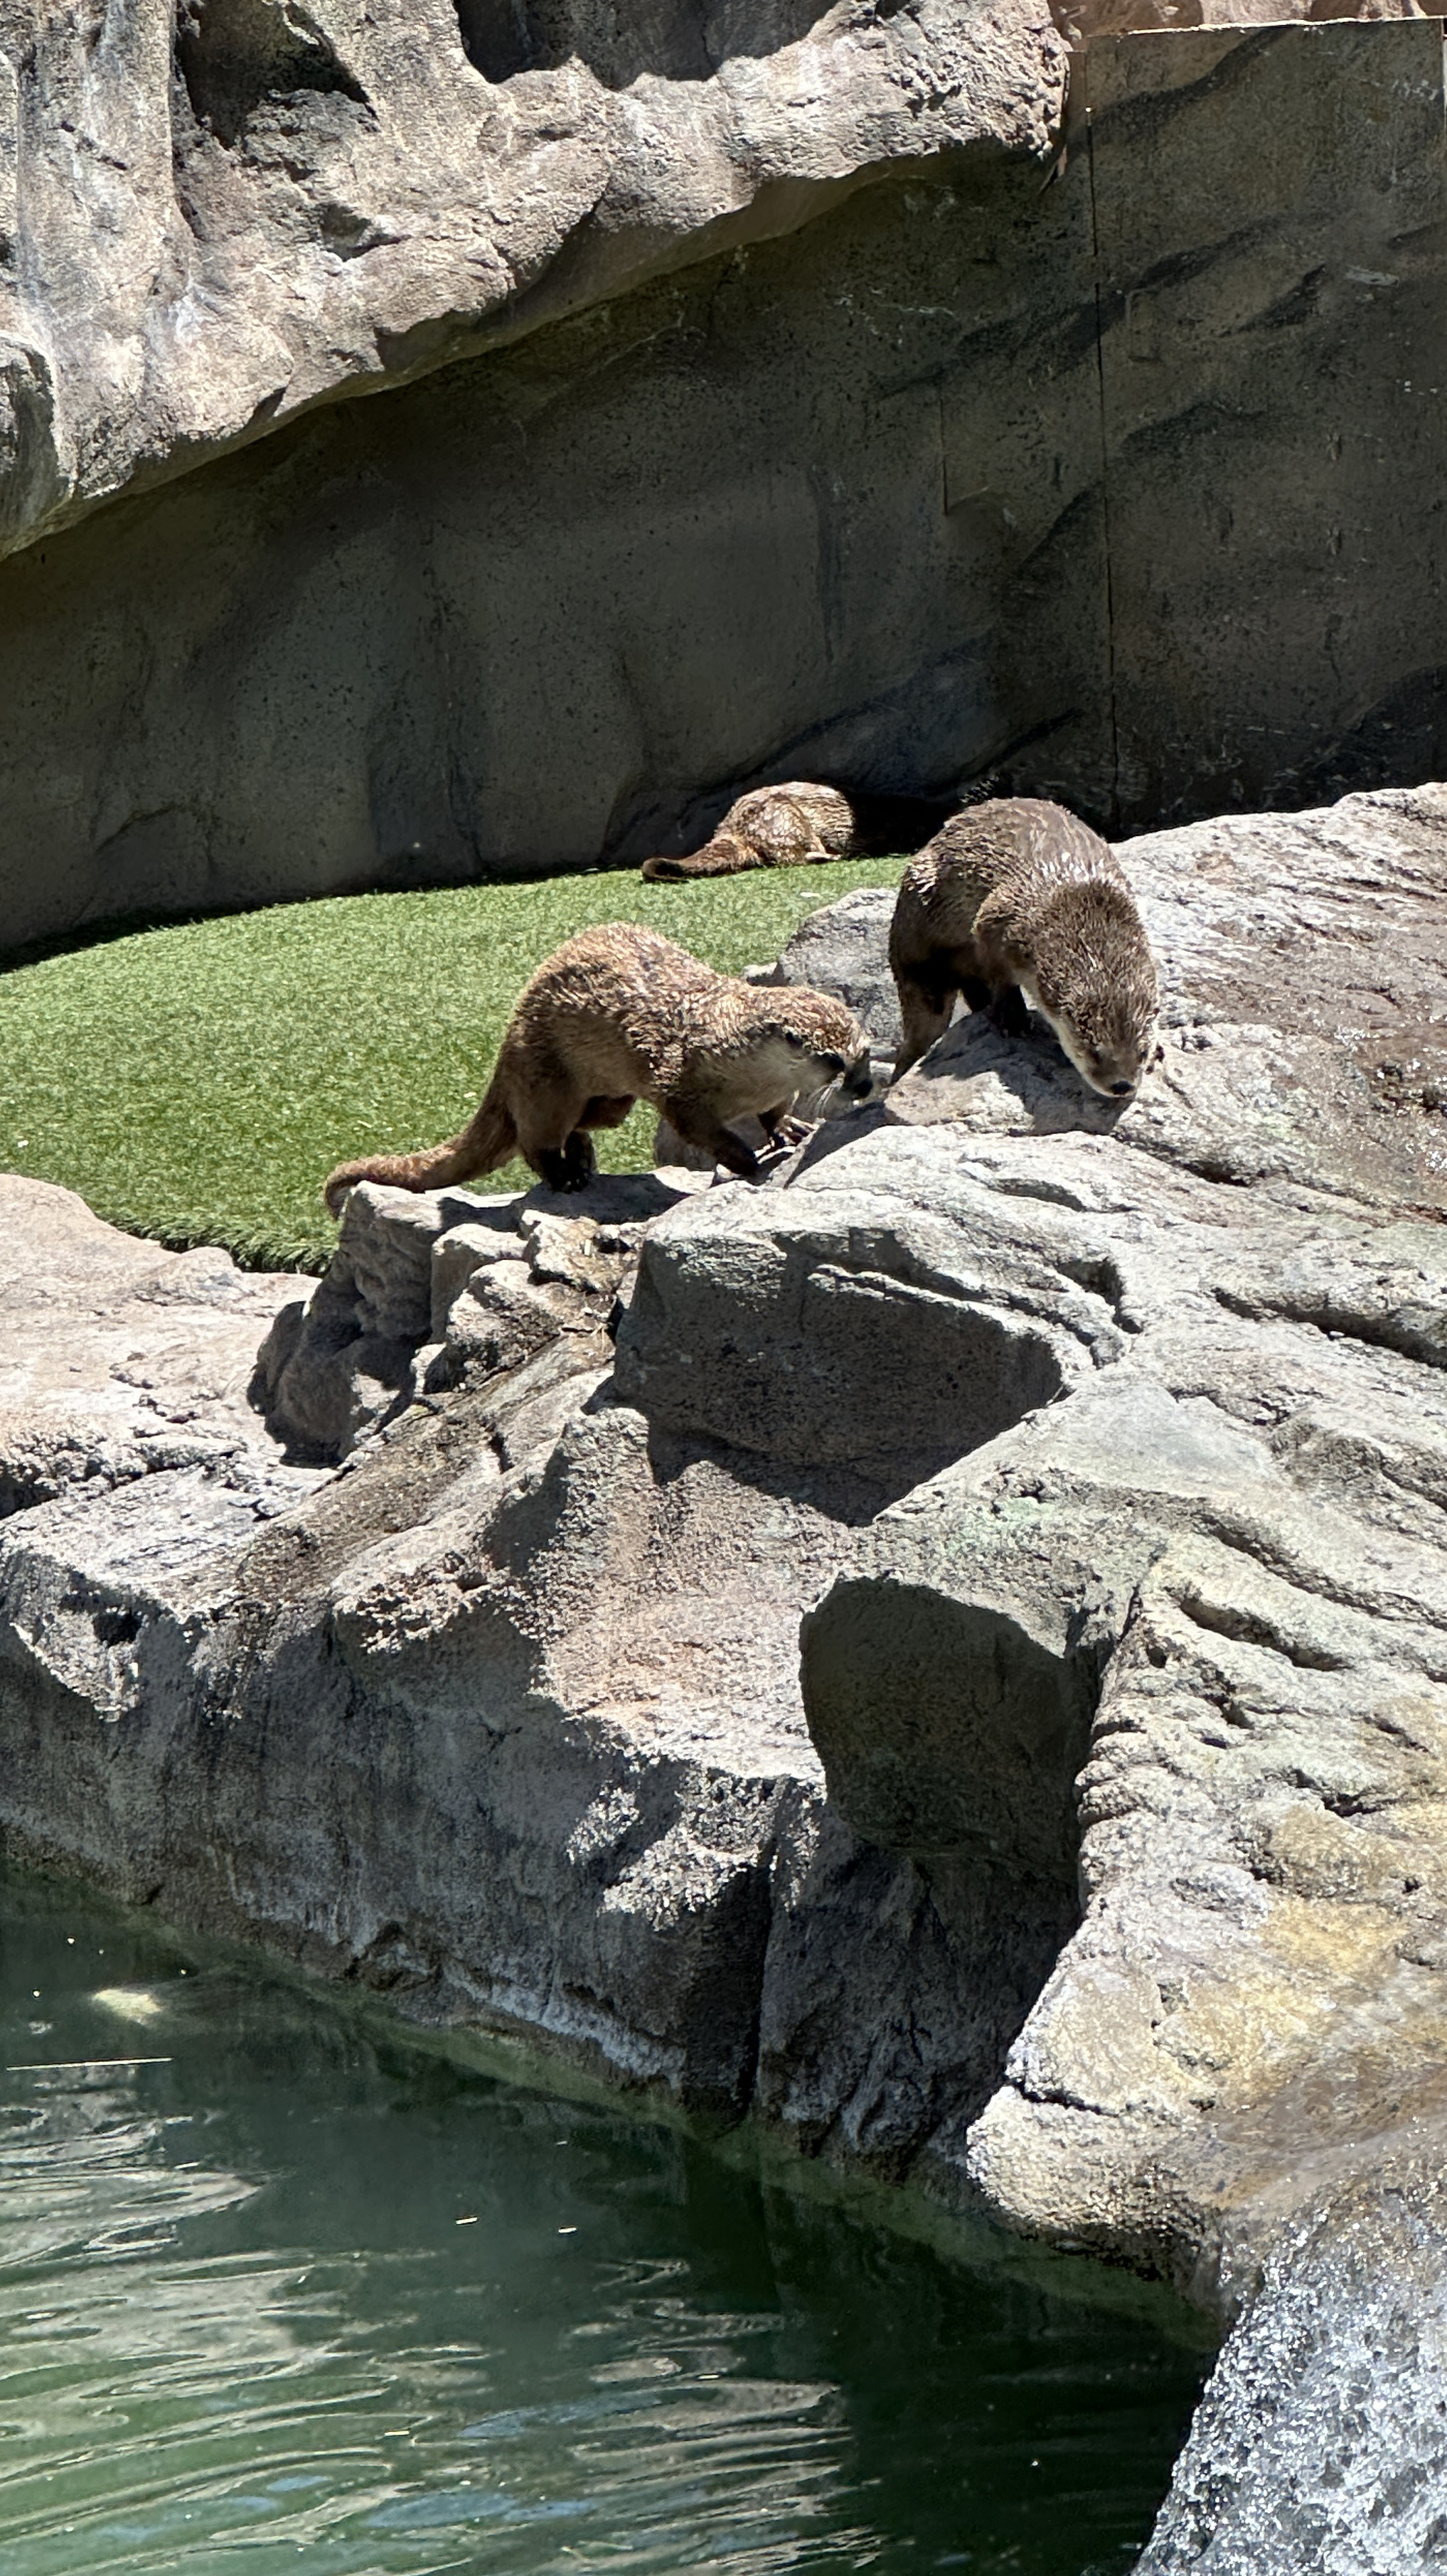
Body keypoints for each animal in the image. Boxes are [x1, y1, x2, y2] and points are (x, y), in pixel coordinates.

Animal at [324, 922, 865, 1210]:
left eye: (864, 1050)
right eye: (832, 1058)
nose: (861, 1085)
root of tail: (506, 1042)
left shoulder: (769, 1091)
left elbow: (774, 1112)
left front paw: (789, 1129)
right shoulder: (676, 1083)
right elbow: (701, 1130)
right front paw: (744, 1161)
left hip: (613, 1099)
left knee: (584, 1123)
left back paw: (583, 1158)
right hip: (545, 1078)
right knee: (536, 1137)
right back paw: (565, 1175)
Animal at [885, 793, 1153, 1097]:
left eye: (1143, 1053)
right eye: (1093, 1052)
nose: (1122, 1085)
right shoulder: (996, 919)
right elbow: (999, 974)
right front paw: (1013, 1018)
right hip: (916, 935)